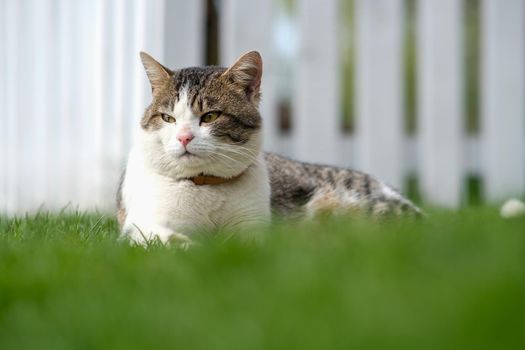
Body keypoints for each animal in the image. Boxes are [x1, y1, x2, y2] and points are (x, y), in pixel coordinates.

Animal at [116, 50, 420, 245]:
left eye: (210, 116)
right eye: (168, 118)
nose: (183, 138)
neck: (206, 184)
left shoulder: (253, 228)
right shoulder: (139, 225)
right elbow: (161, 238)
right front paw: (186, 246)